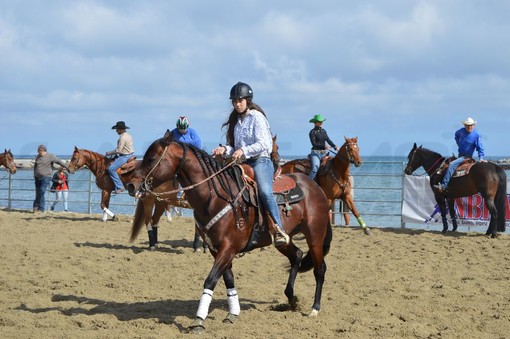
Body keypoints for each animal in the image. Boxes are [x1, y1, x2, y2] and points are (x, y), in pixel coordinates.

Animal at [127, 131, 332, 334]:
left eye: (152, 158)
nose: (131, 186)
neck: (215, 197)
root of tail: (314, 186)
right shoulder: (216, 249)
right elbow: (228, 279)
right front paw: (233, 312)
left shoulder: (228, 248)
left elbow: (210, 280)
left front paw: (199, 320)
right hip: (282, 240)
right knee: (296, 255)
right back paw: (291, 299)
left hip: (315, 235)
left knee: (320, 269)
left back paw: (314, 308)